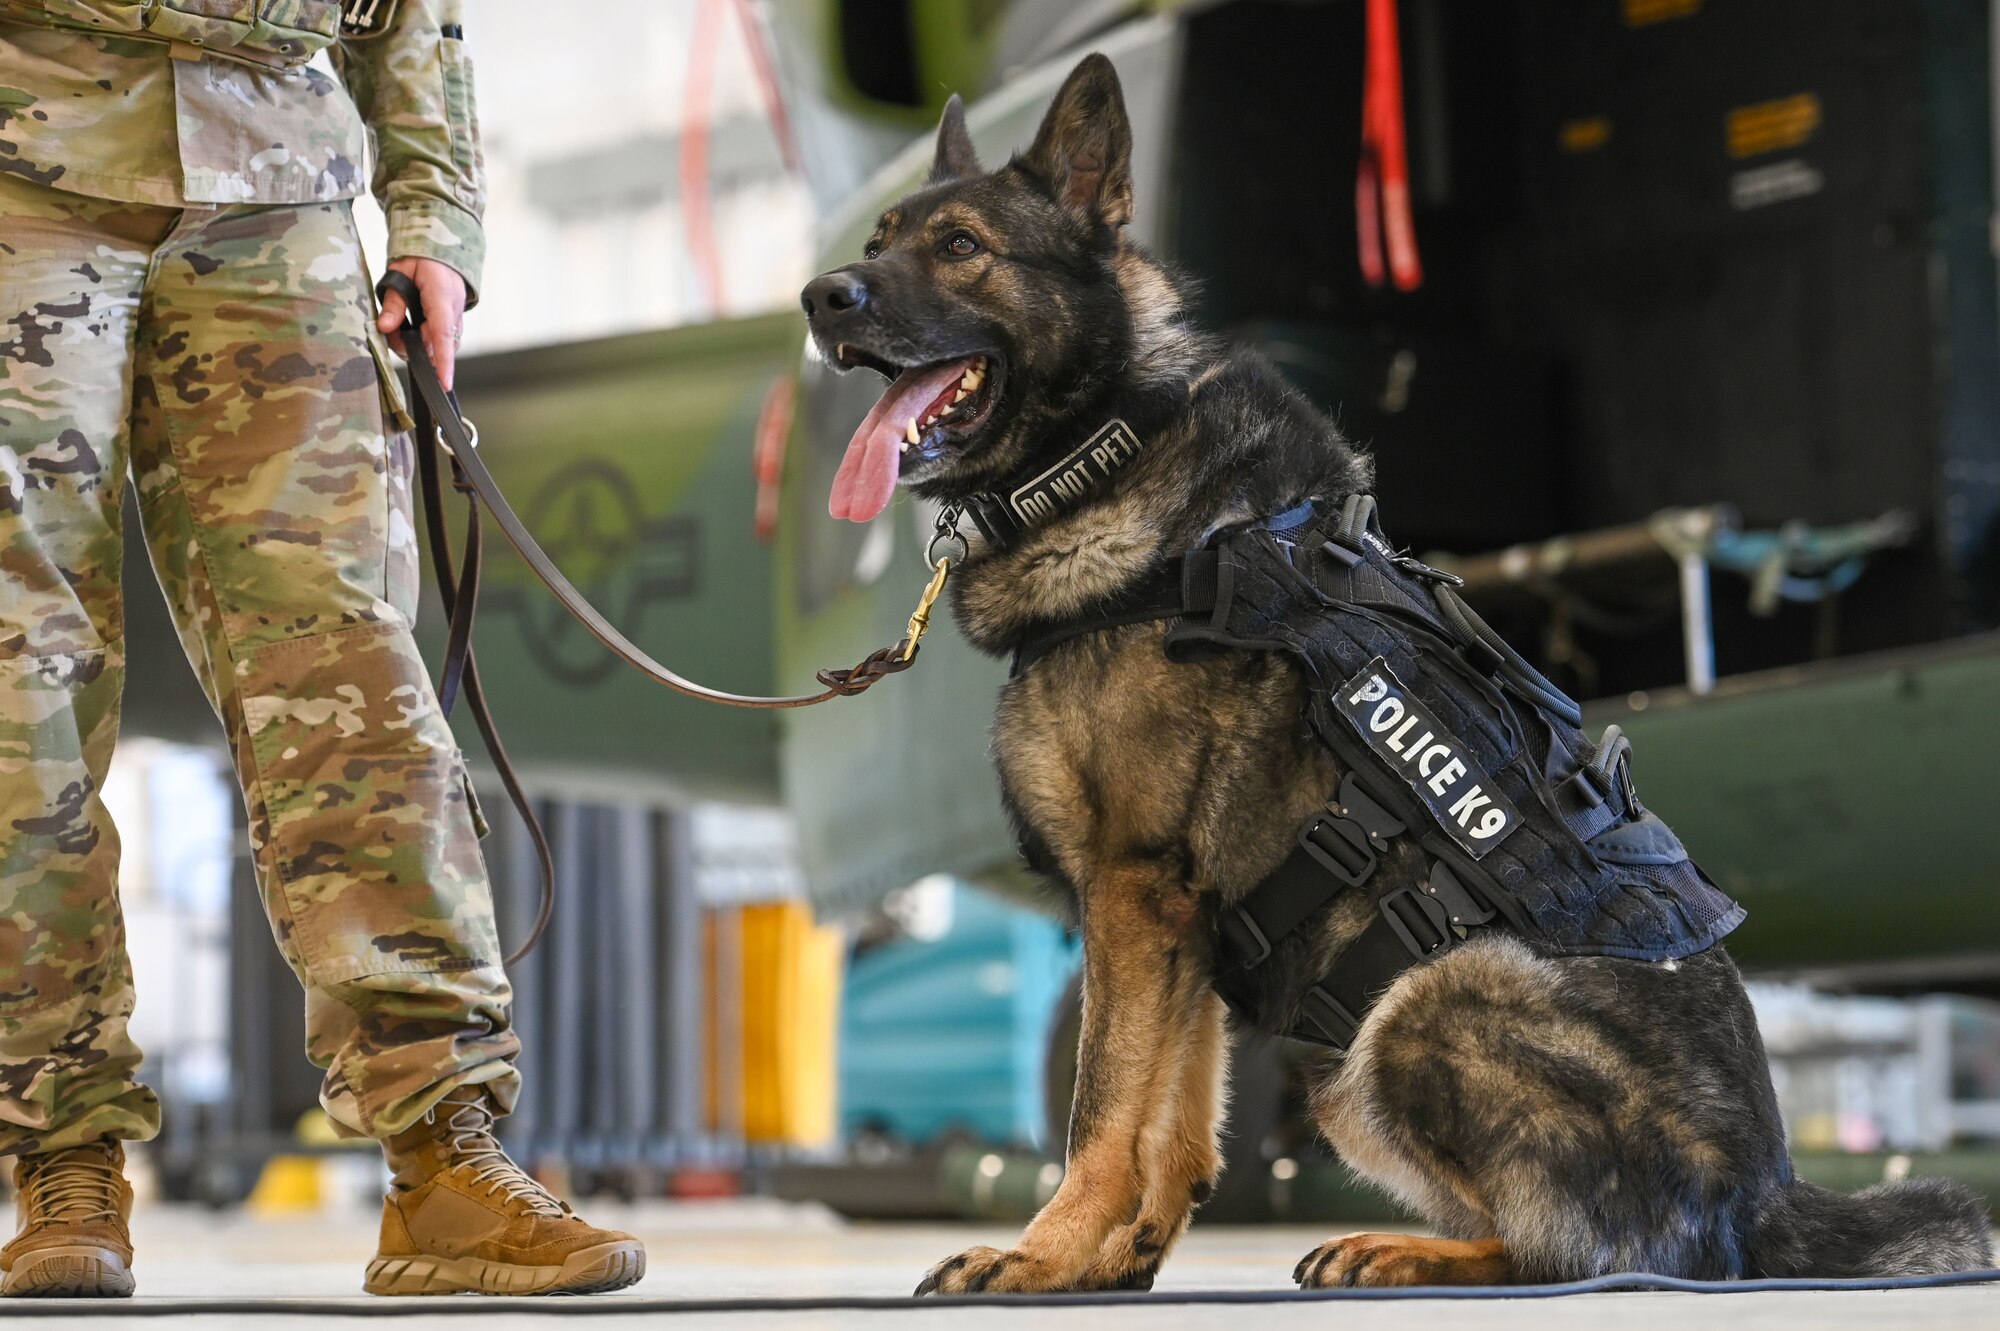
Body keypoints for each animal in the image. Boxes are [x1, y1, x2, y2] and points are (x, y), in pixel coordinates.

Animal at [800, 51, 2000, 1287]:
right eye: (881, 239)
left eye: (960, 246)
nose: (820, 298)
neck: (1106, 449)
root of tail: (1767, 1199)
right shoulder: (1180, 917)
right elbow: (1174, 1114)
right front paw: (1117, 1257)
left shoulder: (1132, 889)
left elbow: (1101, 1108)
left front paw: (1044, 1253)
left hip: (1413, 1011)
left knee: (1581, 1251)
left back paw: (1410, 1249)